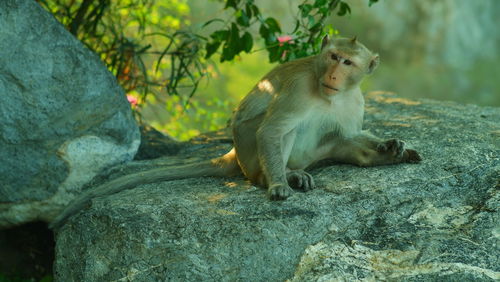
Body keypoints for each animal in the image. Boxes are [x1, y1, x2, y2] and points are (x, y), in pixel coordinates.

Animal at [48, 35, 420, 229]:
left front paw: (392, 145)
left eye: (348, 63)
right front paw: (278, 185)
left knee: (335, 139)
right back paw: (285, 175)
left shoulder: (355, 101)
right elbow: (272, 131)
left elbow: (349, 134)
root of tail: (234, 155)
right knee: (276, 133)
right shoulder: (298, 90)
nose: (332, 74)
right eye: (332, 56)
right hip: (250, 154)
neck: (331, 93)